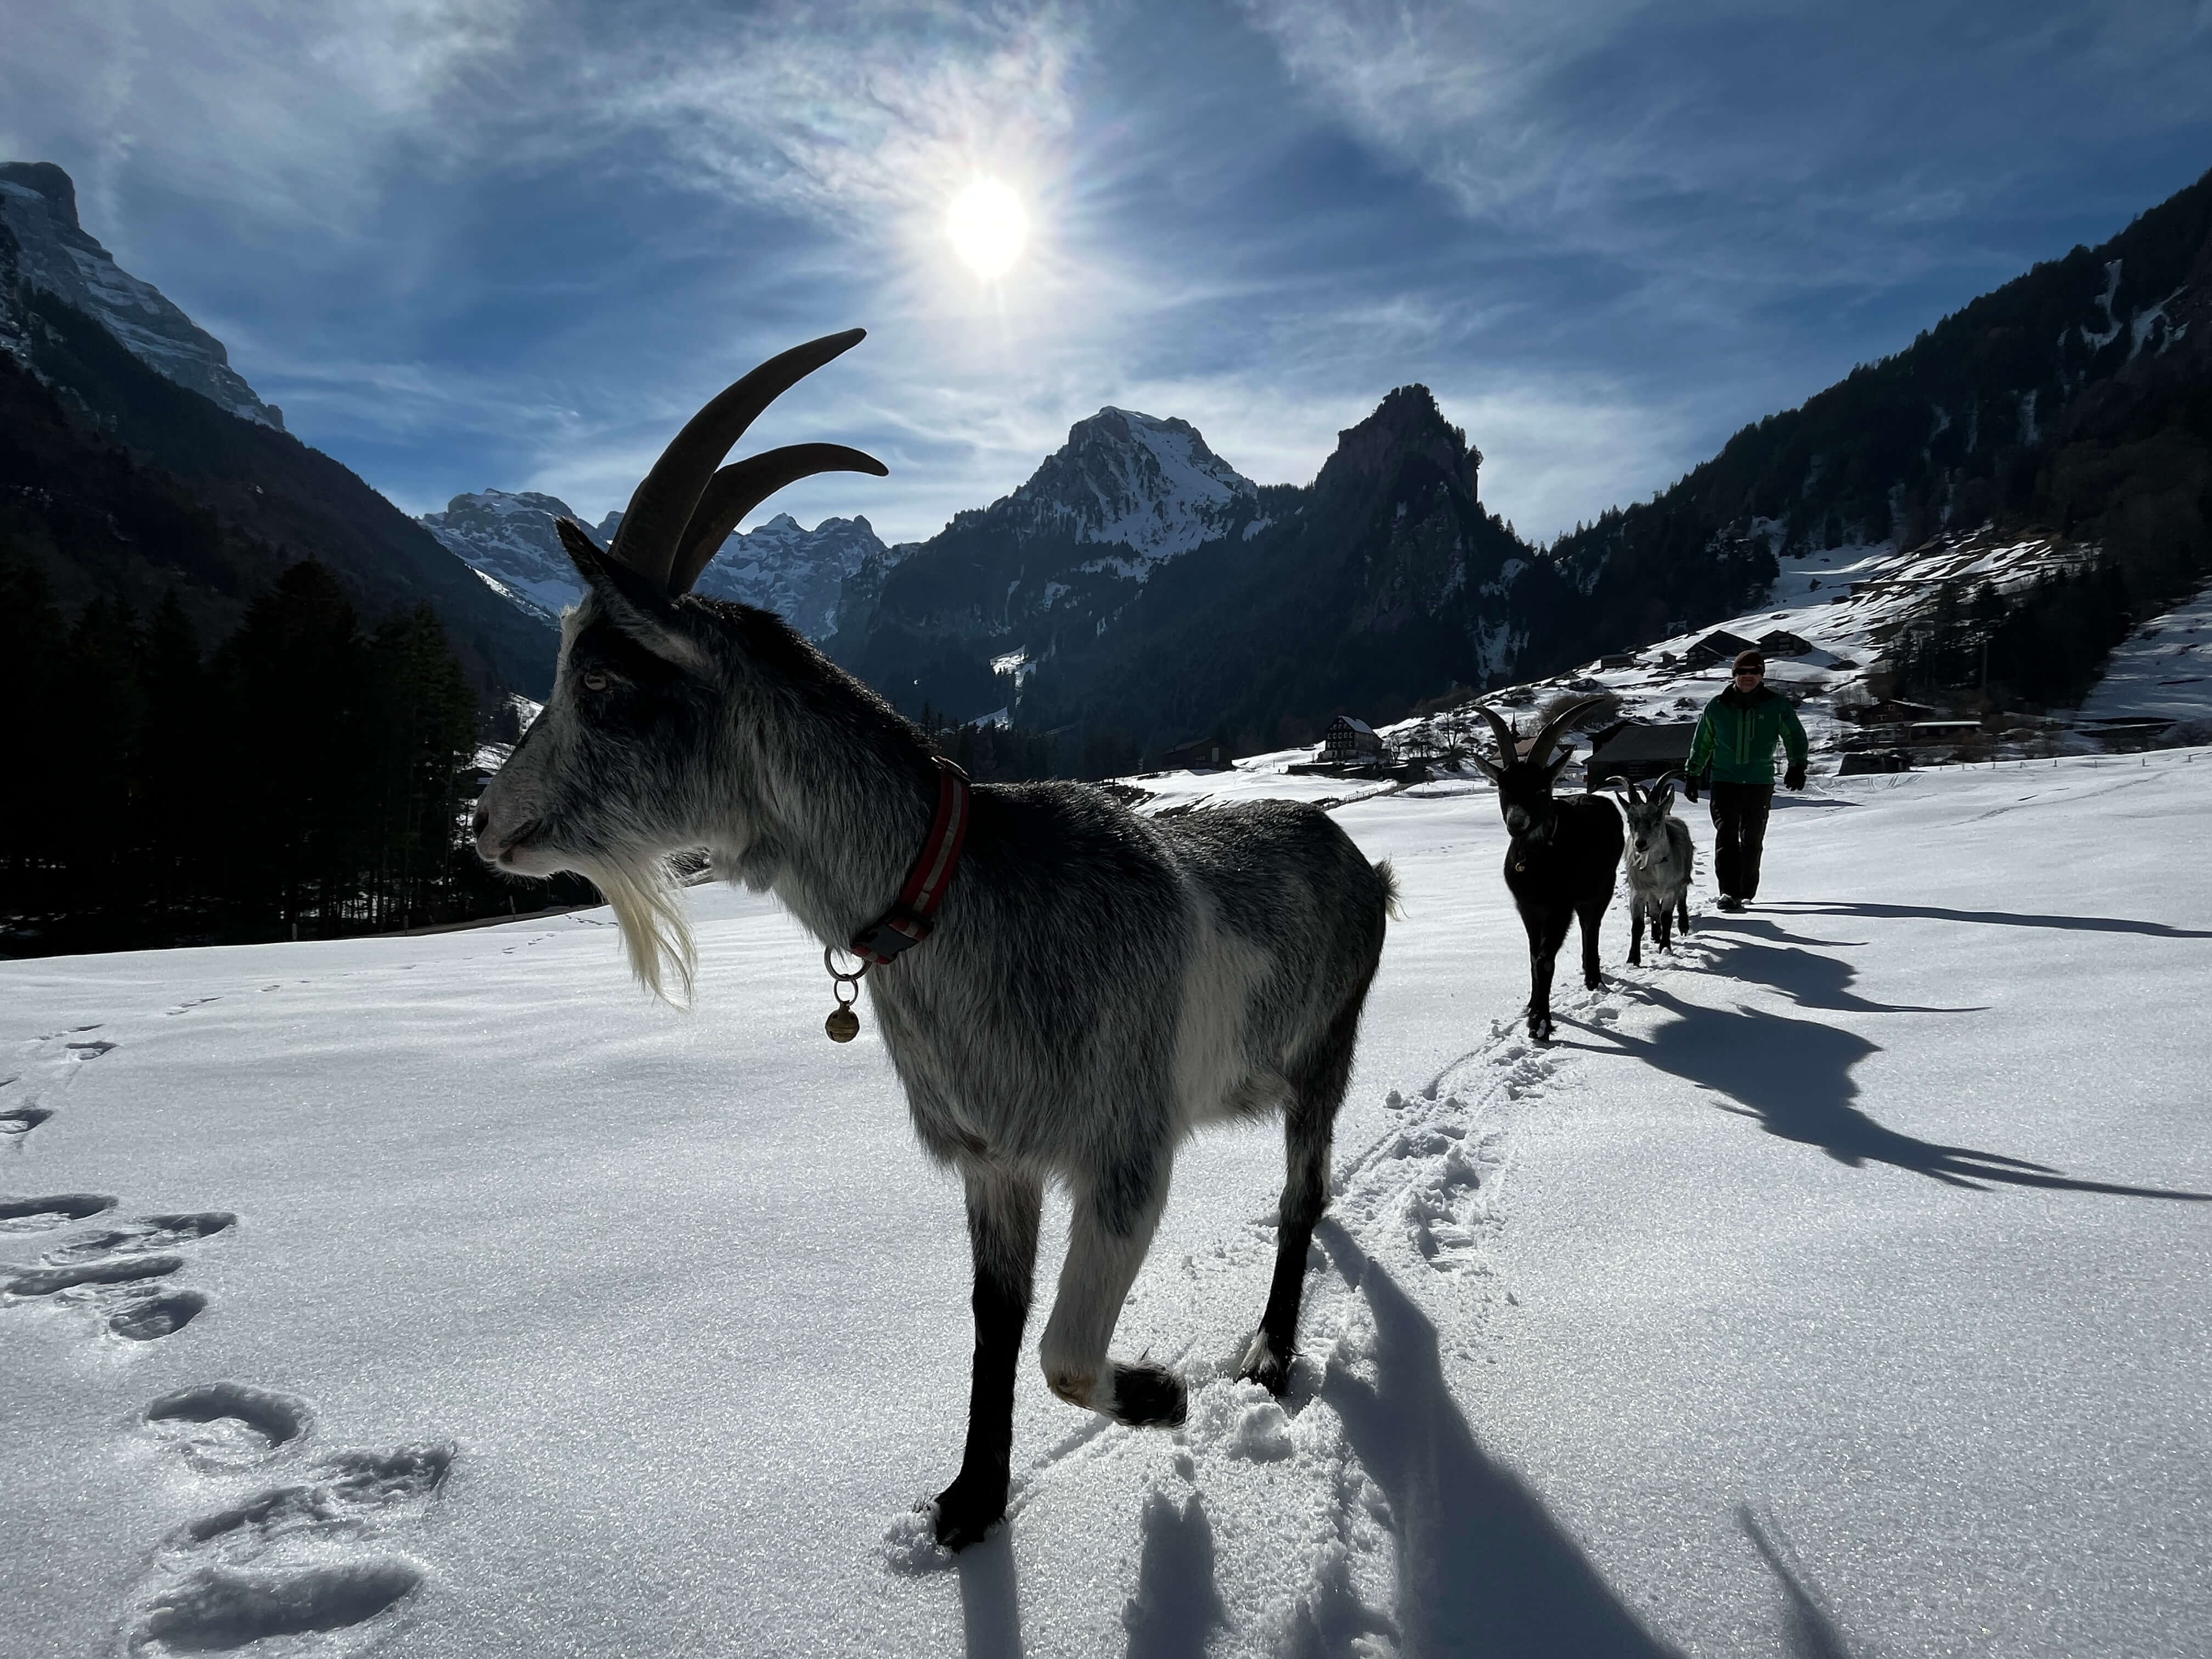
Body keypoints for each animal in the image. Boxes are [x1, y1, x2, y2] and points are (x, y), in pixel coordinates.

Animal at [470, 330, 1396, 1551]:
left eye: (605, 678)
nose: (484, 823)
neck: (967, 897)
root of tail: (1360, 862)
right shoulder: (992, 1156)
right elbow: (996, 1322)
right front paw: (969, 1503)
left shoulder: (1123, 1154)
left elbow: (1063, 1354)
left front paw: (1158, 1393)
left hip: (1321, 1053)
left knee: (1301, 1195)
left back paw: (1273, 1350)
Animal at [1470, 700, 1624, 1041]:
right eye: (1503, 787)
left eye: (1541, 789)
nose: (1517, 823)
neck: (1535, 861)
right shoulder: (1528, 907)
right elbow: (1532, 955)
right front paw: (1532, 1005)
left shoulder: (1558, 906)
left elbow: (1545, 959)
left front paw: (1540, 1023)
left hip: (1602, 885)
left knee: (1591, 926)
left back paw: (1593, 977)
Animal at [1605, 773, 1694, 966]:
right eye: (1630, 821)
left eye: (1657, 820)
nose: (1640, 844)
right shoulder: (1638, 891)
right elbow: (1638, 924)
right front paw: (1633, 959)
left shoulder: (1670, 890)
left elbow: (1667, 918)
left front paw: (1665, 948)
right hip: (1651, 893)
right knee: (1654, 911)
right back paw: (1655, 934)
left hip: (1683, 877)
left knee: (1682, 897)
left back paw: (1683, 926)